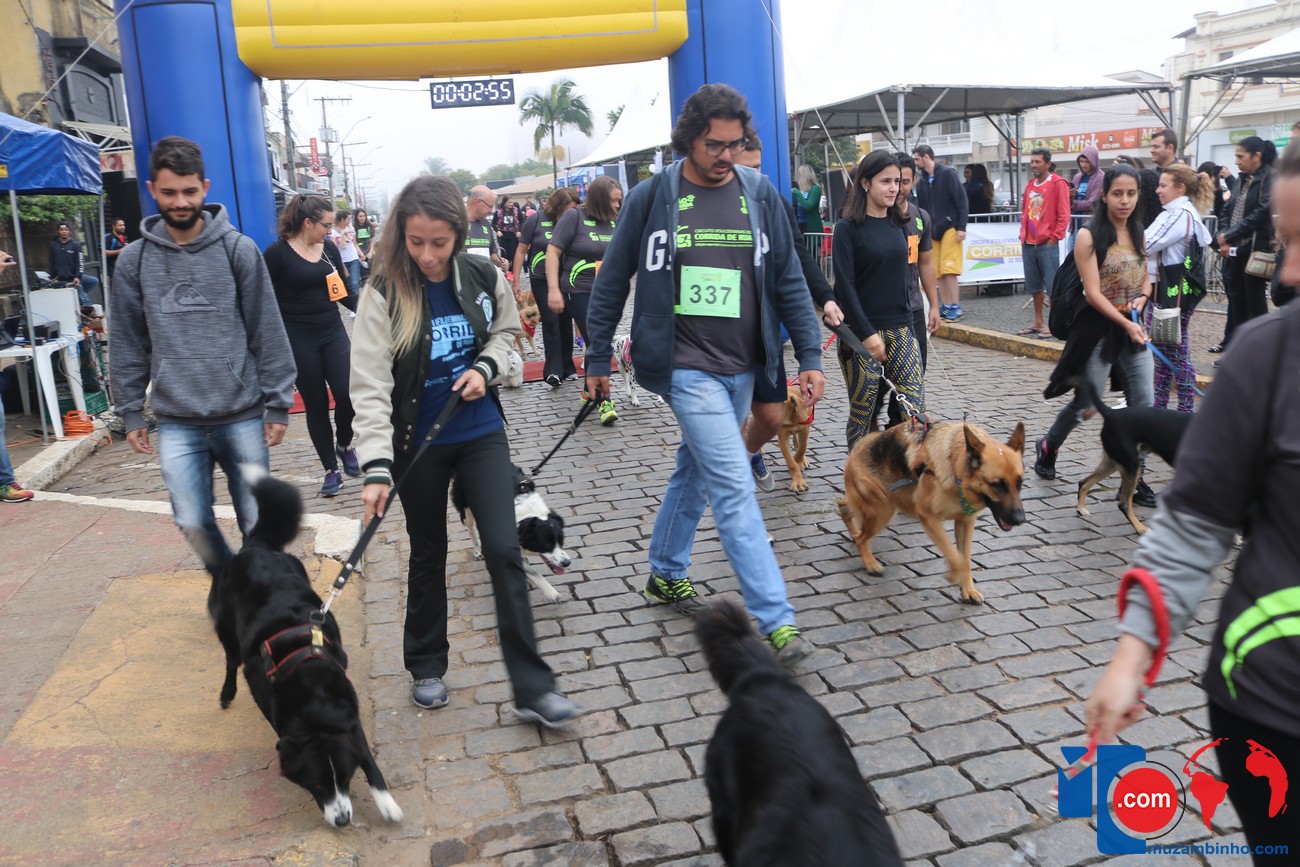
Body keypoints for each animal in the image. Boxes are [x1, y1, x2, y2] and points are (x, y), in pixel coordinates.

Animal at [207, 467, 403, 828]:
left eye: (346, 778)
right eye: (317, 784)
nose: (342, 820)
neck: (313, 696)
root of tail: (255, 545)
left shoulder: (350, 720)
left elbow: (369, 760)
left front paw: (387, 803)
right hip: (225, 628)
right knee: (230, 660)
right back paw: (227, 693)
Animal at [451, 464, 570, 603]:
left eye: (562, 541)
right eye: (546, 544)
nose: (567, 563)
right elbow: (532, 572)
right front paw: (552, 593)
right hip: (466, 508)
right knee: (471, 529)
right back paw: (477, 551)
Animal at [838, 421, 1027, 604]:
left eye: (1019, 483)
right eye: (998, 485)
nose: (1020, 520)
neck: (955, 466)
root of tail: (858, 447)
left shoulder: (965, 523)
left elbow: (965, 559)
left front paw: (967, 589)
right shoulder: (929, 517)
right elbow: (954, 556)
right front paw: (954, 574)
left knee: (843, 507)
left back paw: (854, 533)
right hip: (883, 510)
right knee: (862, 539)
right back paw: (870, 563)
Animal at [1070, 378, 1194, 534]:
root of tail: (1111, 413)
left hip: (1114, 462)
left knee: (1084, 482)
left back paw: (1081, 509)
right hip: (1131, 465)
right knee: (1123, 504)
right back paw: (1141, 528)